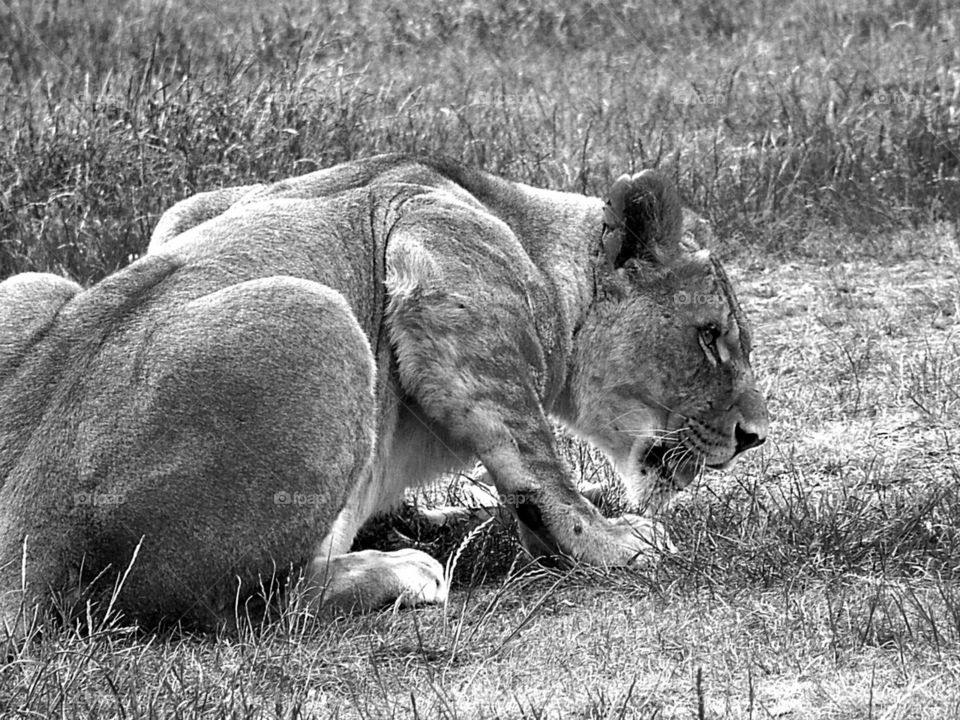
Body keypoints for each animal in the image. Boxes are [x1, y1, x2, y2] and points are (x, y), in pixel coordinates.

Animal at [0, 154, 767, 636]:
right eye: (711, 338)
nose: (755, 437)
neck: (525, 232)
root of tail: (25, 539)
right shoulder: (439, 263)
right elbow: (536, 463)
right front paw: (613, 542)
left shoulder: (197, 208)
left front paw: (442, 514)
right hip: (315, 314)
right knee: (251, 608)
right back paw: (401, 572)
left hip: (34, 284)